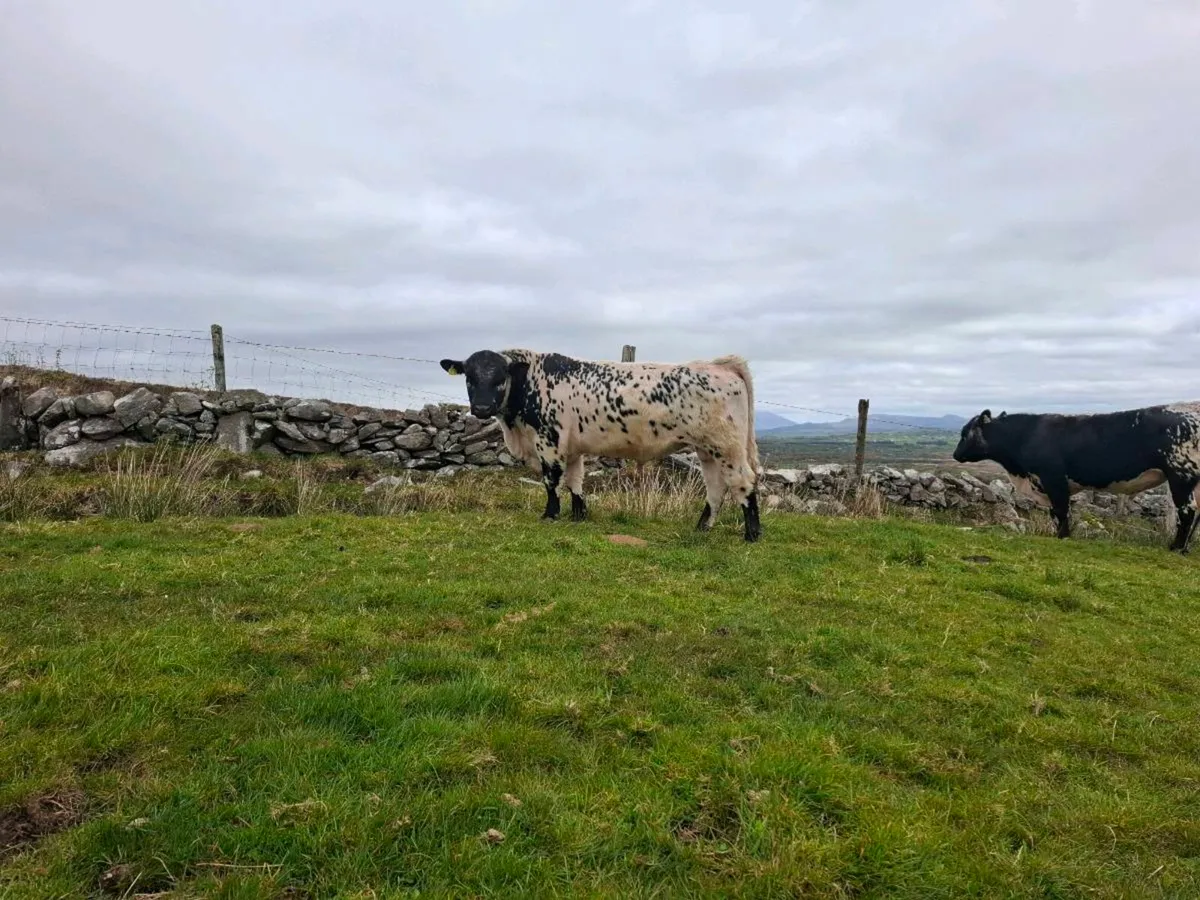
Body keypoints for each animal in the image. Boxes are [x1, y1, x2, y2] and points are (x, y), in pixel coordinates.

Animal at [439, 348, 764, 541]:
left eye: (500, 377)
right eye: (469, 377)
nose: (481, 408)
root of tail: (720, 365)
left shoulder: (549, 442)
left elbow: (551, 481)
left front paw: (550, 514)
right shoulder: (572, 448)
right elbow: (575, 482)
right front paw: (578, 515)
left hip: (727, 446)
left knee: (744, 482)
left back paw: (752, 533)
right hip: (707, 450)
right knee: (716, 488)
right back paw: (702, 527)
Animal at [952, 403, 1200, 553]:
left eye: (964, 433)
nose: (955, 454)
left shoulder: (1053, 478)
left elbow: (1061, 510)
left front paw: (1063, 536)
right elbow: (1056, 512)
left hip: (1181, 476)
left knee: (1187, 512)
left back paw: (1176, 547)